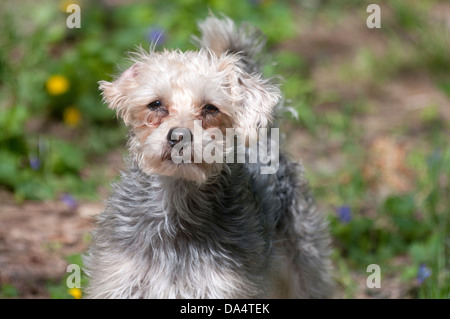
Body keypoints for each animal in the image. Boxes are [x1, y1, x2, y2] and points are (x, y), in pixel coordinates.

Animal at [82, 15, 332, 300]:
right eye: (155, 104)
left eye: (210, 108)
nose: (178, 136)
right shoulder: (120, 281)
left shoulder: (223, 287)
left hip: (304, 260)